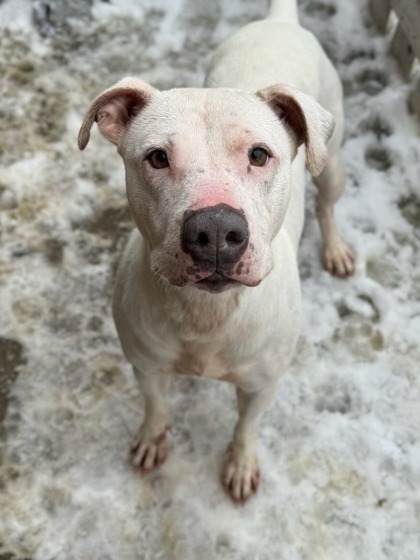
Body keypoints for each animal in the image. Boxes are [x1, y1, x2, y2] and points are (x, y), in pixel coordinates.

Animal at [78, 0, 352, 506]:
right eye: (157, 157)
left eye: (260, 155)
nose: (217, 228)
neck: (207, 314)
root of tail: (280, 21)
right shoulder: (144, 362)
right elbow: (156, 404)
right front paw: (152, 439)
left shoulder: (262, 384)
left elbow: (246, 427)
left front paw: (240, 465)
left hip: (332, 162)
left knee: (326, 203)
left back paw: (337, 247)